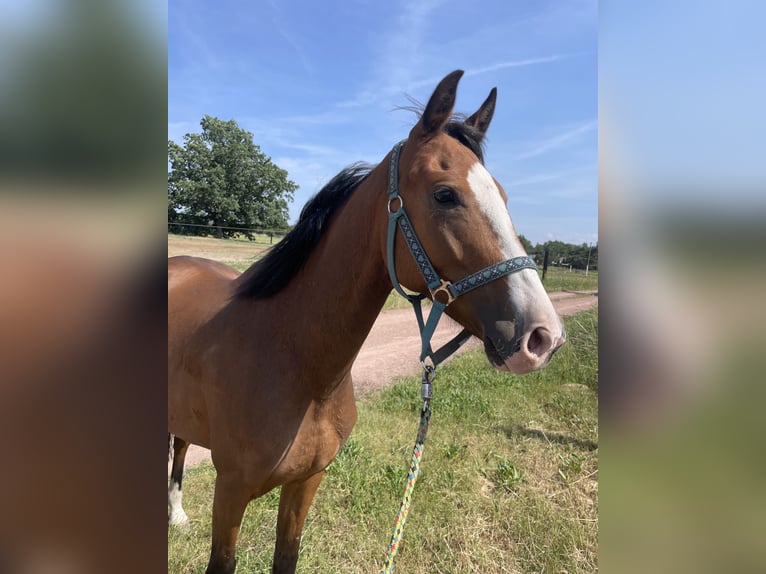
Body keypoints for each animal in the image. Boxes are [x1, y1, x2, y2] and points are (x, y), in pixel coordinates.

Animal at [168, 70, 566, 574]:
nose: (543, 337)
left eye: (504, 196)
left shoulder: (306, 483)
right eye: (445, 194)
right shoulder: (231, 490)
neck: (295, 362)